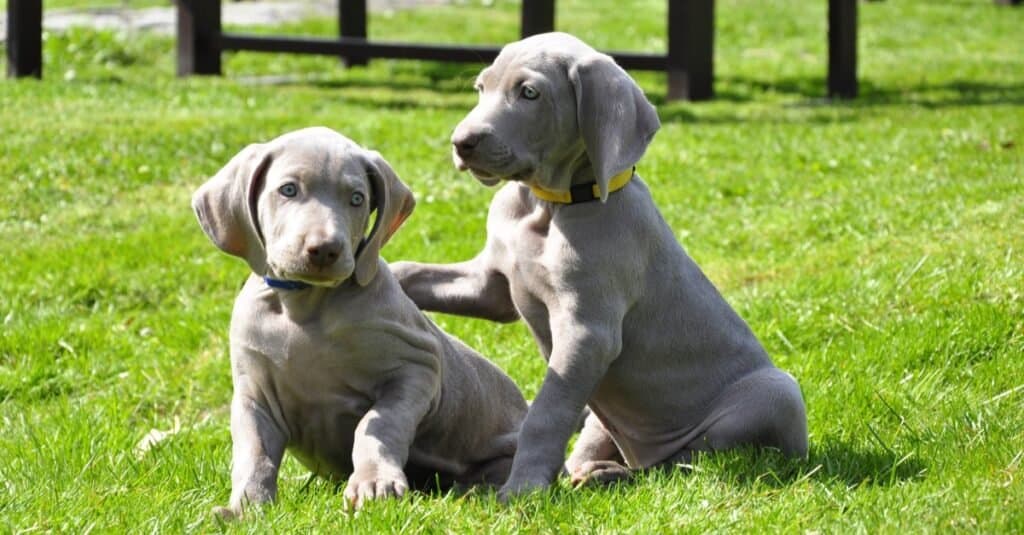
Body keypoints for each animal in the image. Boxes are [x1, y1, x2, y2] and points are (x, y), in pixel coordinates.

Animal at [191, 127, 528, 514]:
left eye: (356, 199)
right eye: (288, 190)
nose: (325, 249)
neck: (304, 306)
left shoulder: (419, 368)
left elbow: (376, 426)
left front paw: (374, 482)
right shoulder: (254, 395)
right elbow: (253, 450)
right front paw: (247, 506)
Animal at [391, 33, 806, 500]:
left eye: (529, 93)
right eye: (481, 88)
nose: (462, 142)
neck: (549, 206)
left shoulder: (588, 332)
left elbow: (546, 413)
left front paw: (522, 490)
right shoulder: (491, 285)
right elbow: (413, 271)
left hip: (775, 393)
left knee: (684, 464)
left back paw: (615, 474)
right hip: (605, 418)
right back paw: (595, 470)